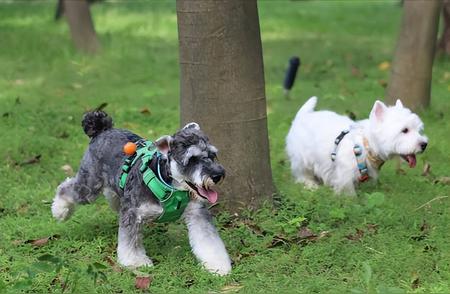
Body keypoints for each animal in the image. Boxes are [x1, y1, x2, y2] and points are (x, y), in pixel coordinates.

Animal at [52, 110, 232, 276]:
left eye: (212, 155)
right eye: (192, 159)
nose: (217, 175)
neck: (169, 182)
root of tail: (103, 129)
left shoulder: (197, 214)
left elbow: (209, 241)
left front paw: (218, 265)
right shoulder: (132, 213)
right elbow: (130, 242)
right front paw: (136, 262)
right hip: (89, 185)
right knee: (66, 189)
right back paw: (59, 211)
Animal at [286, 96, 428, 196]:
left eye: (419, 129)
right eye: (405, 130)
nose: (424, 144)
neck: (366, 146)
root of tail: (302, 116)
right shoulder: (344, 175)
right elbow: (348, 191)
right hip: (302, 158)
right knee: (301, 173)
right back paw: (310, 185)